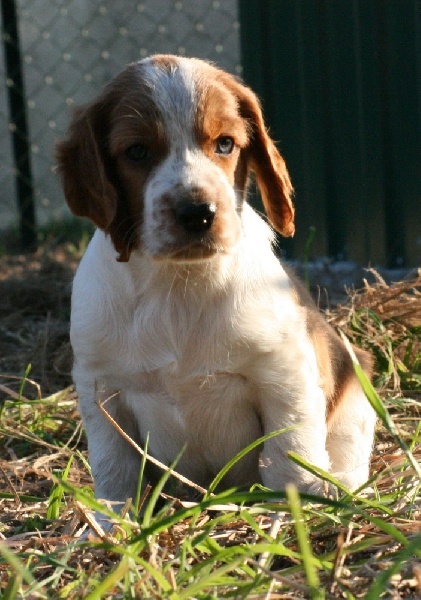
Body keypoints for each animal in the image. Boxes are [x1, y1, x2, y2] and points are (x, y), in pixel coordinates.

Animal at [55, 54, 374, 508]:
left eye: (225, 144)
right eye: (137, 151)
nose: (198, 213)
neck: (179, 283)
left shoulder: (284, 375)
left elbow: (288, 458)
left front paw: (296, 508)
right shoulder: (101, 389)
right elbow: (116, 469)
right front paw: (109, 519)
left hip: (355, 391)